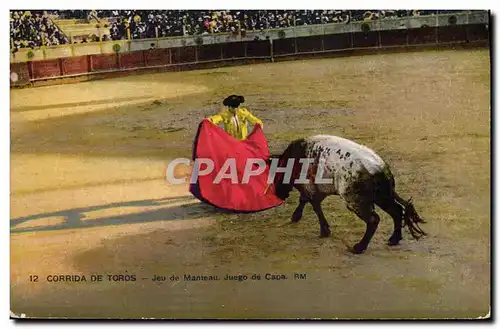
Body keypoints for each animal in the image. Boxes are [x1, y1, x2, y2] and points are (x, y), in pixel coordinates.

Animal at [270, 135, 426, 252]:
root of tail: (380, 168)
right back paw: (394, 239)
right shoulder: (317, 190)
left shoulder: (311, 188)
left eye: (275, 177)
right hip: (382, 197)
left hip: (355, 201)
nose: (278, 195)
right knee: (397, 211)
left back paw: (359, 247)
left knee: (374, 219)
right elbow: (306, 201)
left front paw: (324, 231)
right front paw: (296, 217)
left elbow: (314, 206)